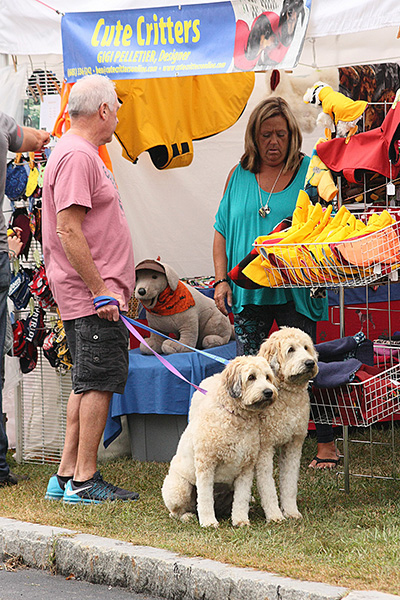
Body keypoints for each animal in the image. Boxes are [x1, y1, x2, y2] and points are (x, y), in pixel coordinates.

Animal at [161, 358, 276, 528]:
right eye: (251, 377)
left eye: (268, 377)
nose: (269, 392)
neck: (236, 417)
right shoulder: (206, 465)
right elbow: (205, 498)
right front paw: (209, 522)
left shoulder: (246, 469)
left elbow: (241, 499)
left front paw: (241, 520)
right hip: (179, 488)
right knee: (176, 512)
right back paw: (187, 516)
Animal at [256, 328, 318, 520]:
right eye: (291, 349)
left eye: (306, 347)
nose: (310, 363)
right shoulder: (264, 448)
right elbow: (267, 486)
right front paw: (274, 515)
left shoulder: (293, 445)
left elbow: (289, 483)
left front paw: (291, 511)